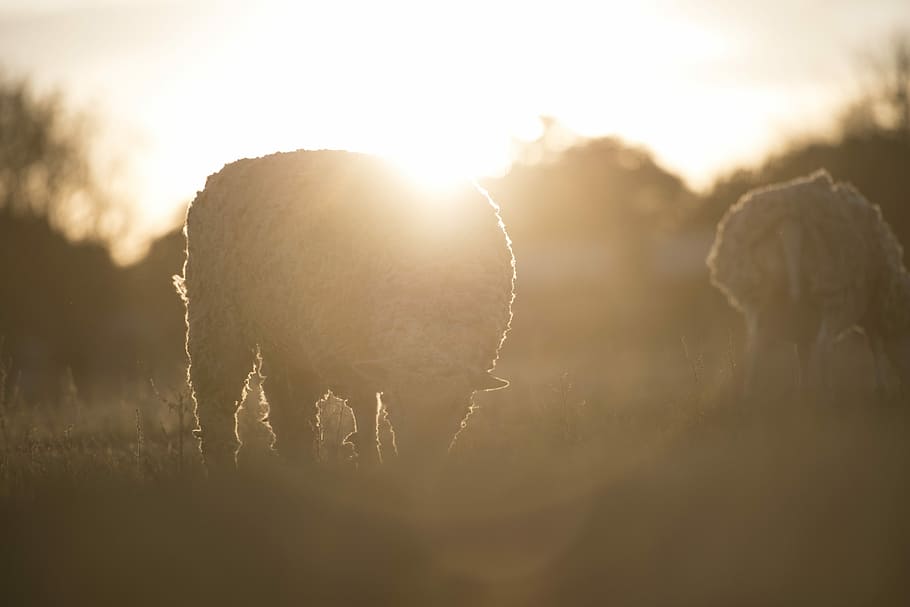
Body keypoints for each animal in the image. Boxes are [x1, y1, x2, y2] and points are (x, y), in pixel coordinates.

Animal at [174, 149, 515, 472]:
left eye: (456, 406)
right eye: (398, 399)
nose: (416, 466)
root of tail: (222, 172)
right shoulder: (350, 356)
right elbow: (365, 414)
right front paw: (371, 466)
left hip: (285, 337)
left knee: (288, 408)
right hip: (215, 320)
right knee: (218, 401)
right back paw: (224, 468)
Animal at [707, 169, 910, 401]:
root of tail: (790, 221)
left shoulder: (802, 320)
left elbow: (802, 353)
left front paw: (802, 391)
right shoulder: (875, 309)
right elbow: (876, 347)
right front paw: (882, 389)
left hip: (757, 292)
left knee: (753, 347)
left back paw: (750, 396)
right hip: (831, 286)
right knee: (824, 346)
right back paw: (828, 396)